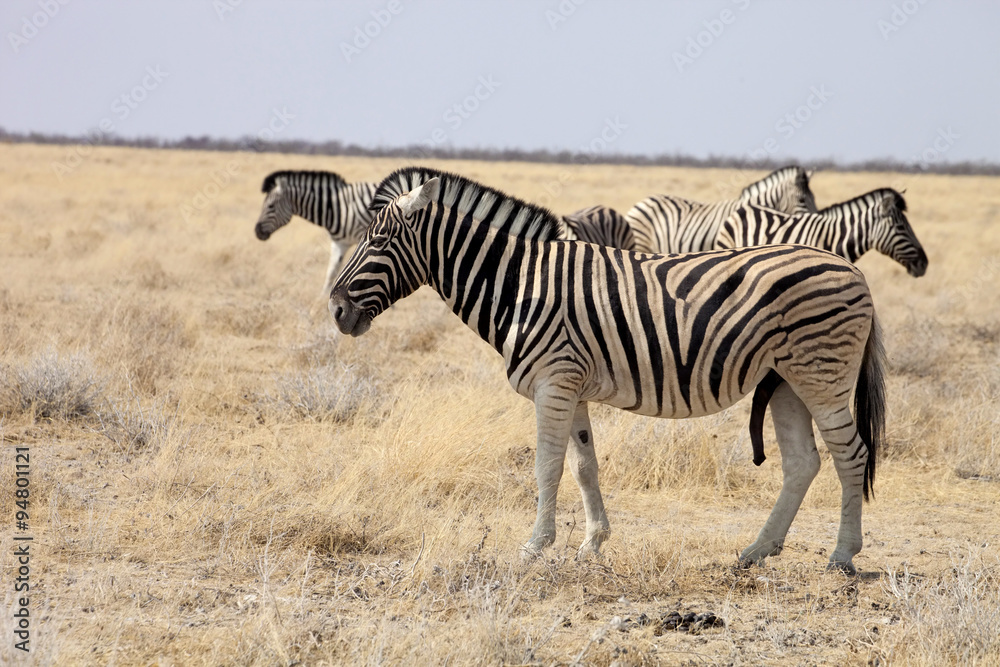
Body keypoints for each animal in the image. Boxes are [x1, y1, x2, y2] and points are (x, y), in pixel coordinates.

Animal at [254, 170, 378, 301]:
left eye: (271, 206)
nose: (257, 232)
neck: (337, 208)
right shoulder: (339, 243)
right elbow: (331, 273)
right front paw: (321, 299)